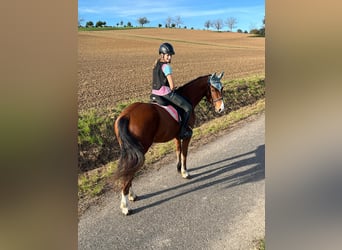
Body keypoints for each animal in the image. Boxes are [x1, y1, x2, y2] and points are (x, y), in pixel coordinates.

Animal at [112, 72, 224, 215]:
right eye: (213, 89)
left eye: (222, 88)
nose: (221, 109)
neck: (187, 96)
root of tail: (126, 115)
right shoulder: (187, 135)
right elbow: (185, 153)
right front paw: (185, 172)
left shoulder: (177, 135)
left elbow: (178, 150)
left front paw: (178, 168)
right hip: (140, 149)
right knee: (130, 171)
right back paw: (125, 206)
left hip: (129, 150)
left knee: (128, 169)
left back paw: (131, 196)